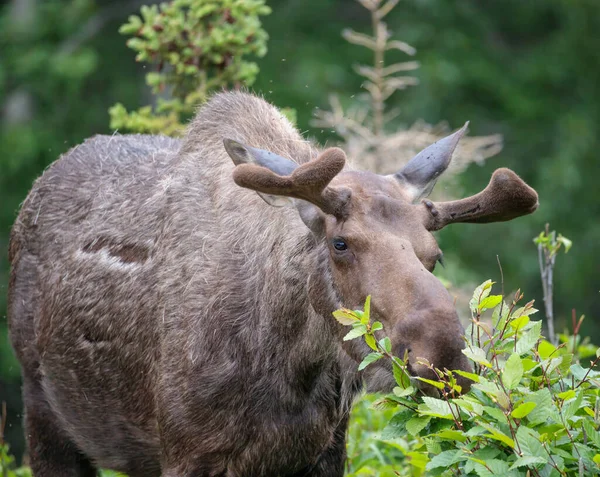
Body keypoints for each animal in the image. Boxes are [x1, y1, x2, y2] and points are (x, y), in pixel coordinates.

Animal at [5, 91, 540, 474]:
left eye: (435, 255)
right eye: (340, 243)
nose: (441, 356)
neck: (286, 366)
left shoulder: (324, 452)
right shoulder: (187, 452)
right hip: (43, 411)